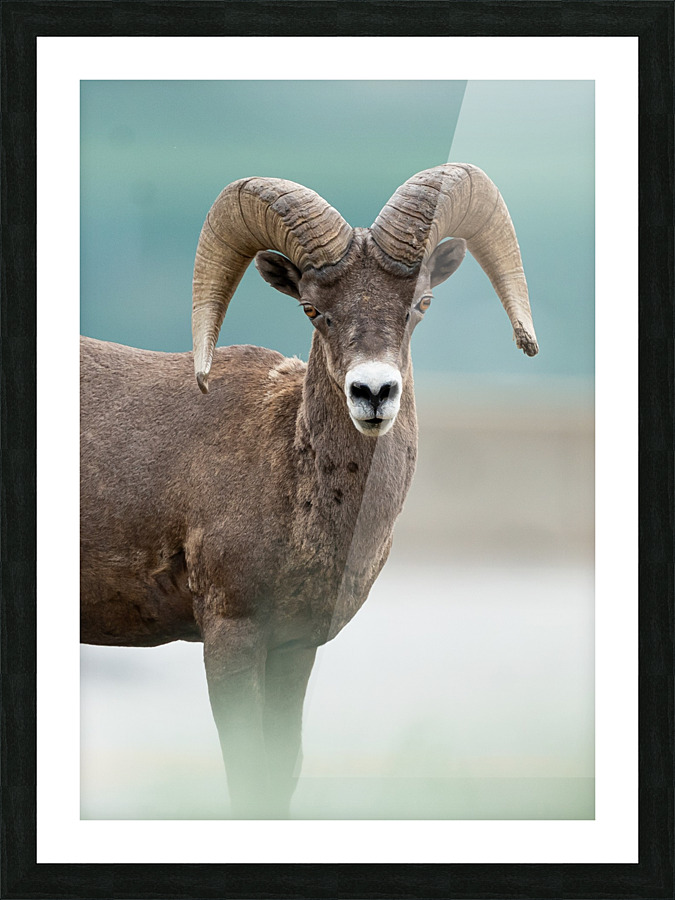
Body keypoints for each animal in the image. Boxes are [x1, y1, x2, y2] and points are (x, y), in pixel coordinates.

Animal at [80, 163, 538, 818]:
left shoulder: (293, 650)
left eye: (420, 305)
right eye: (313, 309)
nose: (373, 393)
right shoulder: (232, 636)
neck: (296, 483)